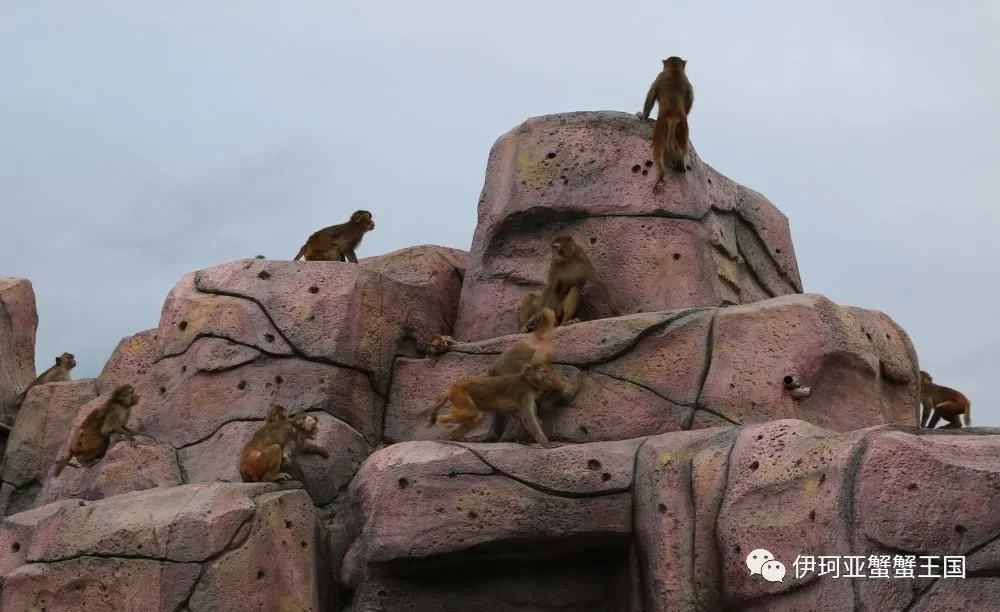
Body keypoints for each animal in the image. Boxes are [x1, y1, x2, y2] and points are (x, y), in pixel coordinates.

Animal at [424, 360, 568, 448]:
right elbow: (528, 418)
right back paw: (441, 422)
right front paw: (547, 444)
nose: (549, 378)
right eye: (544, 372)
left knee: (477, 416)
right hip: (461, 396)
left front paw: (521, 439)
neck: (527, 380)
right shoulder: (524, 393)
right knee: (472, 414)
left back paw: (455, 437)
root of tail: (453, 387)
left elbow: (521, 416)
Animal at [640, 58, 696, 186]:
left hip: (660, 127)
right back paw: (680, 167)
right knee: (681, 148)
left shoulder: (659, 76)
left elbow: (651, 96)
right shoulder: (688, 83)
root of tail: (673, 116)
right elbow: (689, 101)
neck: (675, 70)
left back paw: (660, 173)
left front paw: (642, 116)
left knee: (658, 151)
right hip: (682, 128)